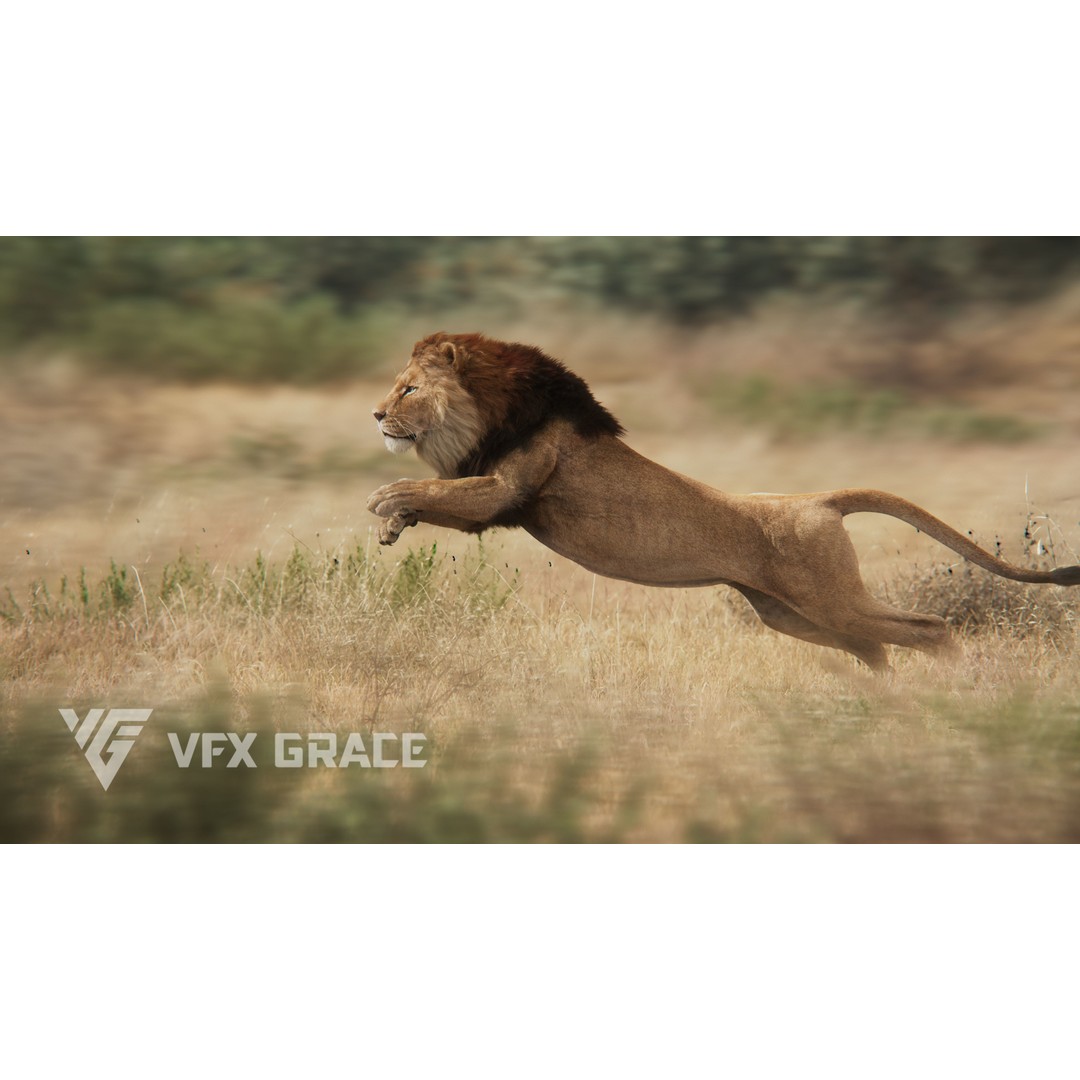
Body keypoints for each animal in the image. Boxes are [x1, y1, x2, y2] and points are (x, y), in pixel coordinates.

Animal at [368, 332, 1080, 672]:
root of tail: (819, 499)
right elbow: (437, 499)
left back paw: (958, 689)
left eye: (407, 390)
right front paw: (393, 526)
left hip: (828, 598)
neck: (488, 412)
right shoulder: (496, 502)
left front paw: (384, 499)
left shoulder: (509, 489)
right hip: (792, 614)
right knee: (875, 648)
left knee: (932, 627)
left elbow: (432, 487)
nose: (375, 415)